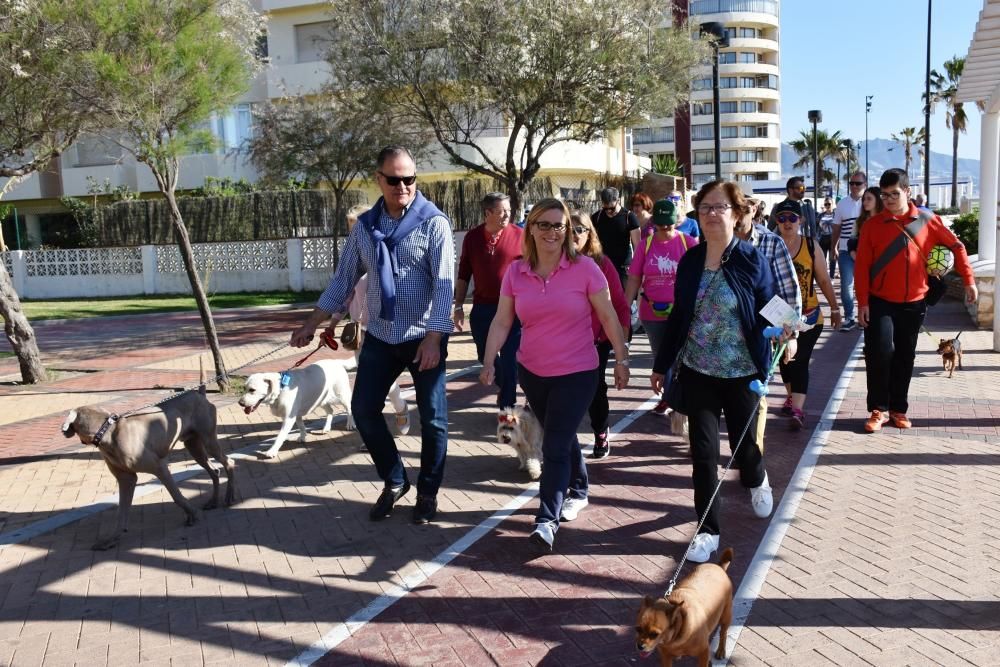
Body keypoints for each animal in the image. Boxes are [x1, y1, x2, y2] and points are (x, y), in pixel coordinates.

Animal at [60, 388, 236, 552]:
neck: (108, 432)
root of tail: (199, 393)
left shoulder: (160, 467)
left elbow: (177, 496)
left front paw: (192, 514)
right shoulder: (126, 479)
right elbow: (121, 513)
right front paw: (110, 539)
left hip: (208, 440)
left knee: (229, 462)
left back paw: (229, 497)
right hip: (194, 445)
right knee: (215, 471)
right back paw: (213, 501)